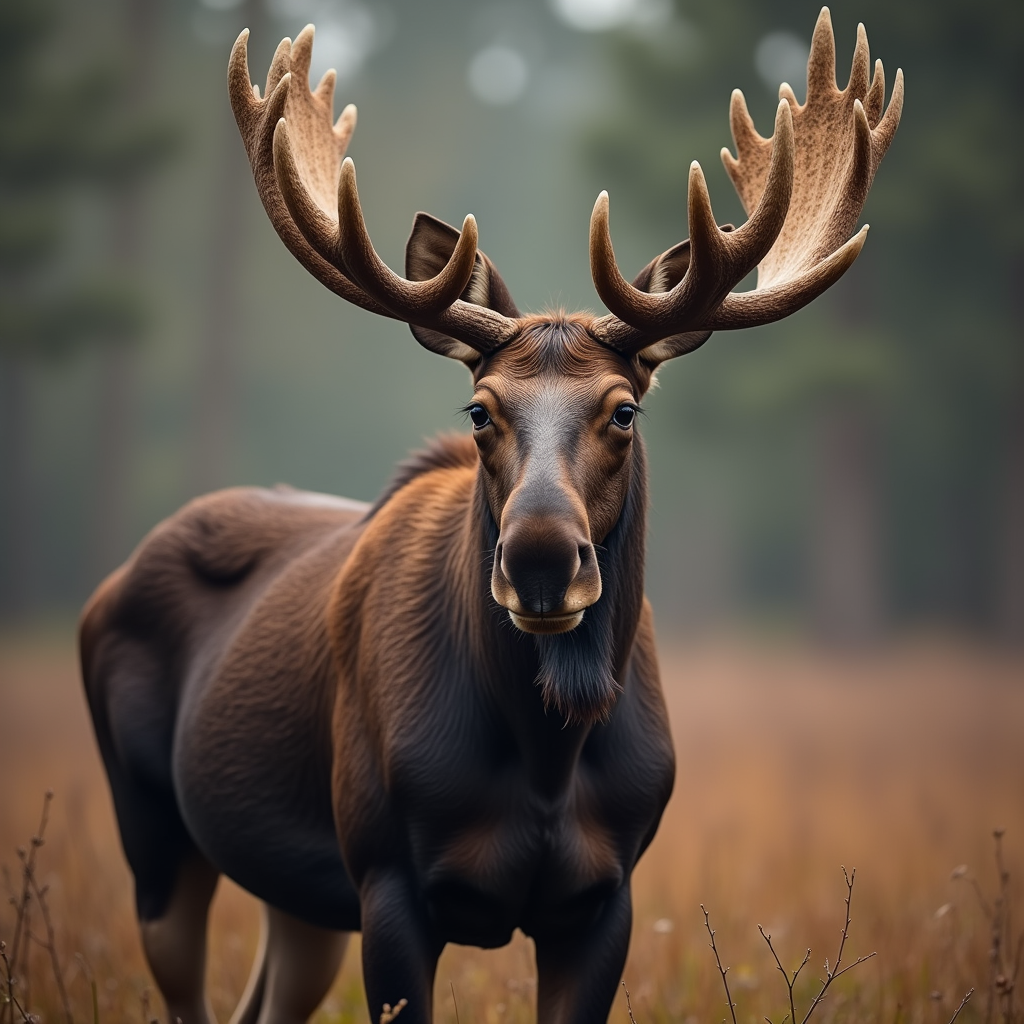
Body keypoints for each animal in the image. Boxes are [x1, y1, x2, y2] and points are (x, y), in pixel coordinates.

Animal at [79, 10, 902, 1024]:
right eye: (479, 410)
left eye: (624, 410)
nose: (542, 556)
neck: (546, 757)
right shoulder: (387, 878)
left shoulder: (606, 895)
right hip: (155, 829)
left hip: (299, 892)